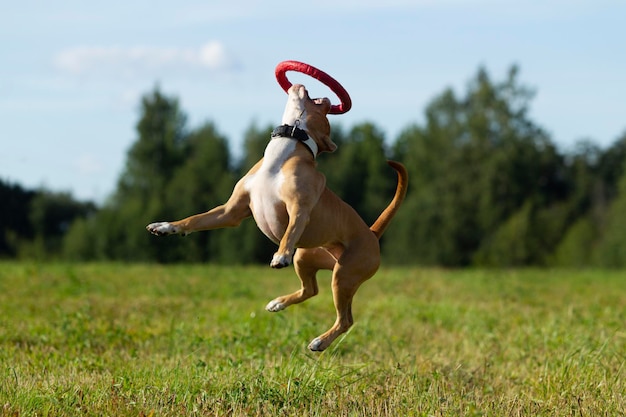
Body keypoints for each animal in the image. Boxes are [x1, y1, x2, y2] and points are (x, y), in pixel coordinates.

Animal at [147, 83, 410, 350]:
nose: (327, 99)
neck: (286, 146)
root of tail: (372, 233)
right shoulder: (230, 211)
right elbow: (194, 220)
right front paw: (165, 226)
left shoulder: (299, 207)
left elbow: (290, 232)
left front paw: (280, 255)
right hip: (306, 258)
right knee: (310, 290)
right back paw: (279, 303)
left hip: (344, 274)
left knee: (345, 319)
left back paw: (320, 341)